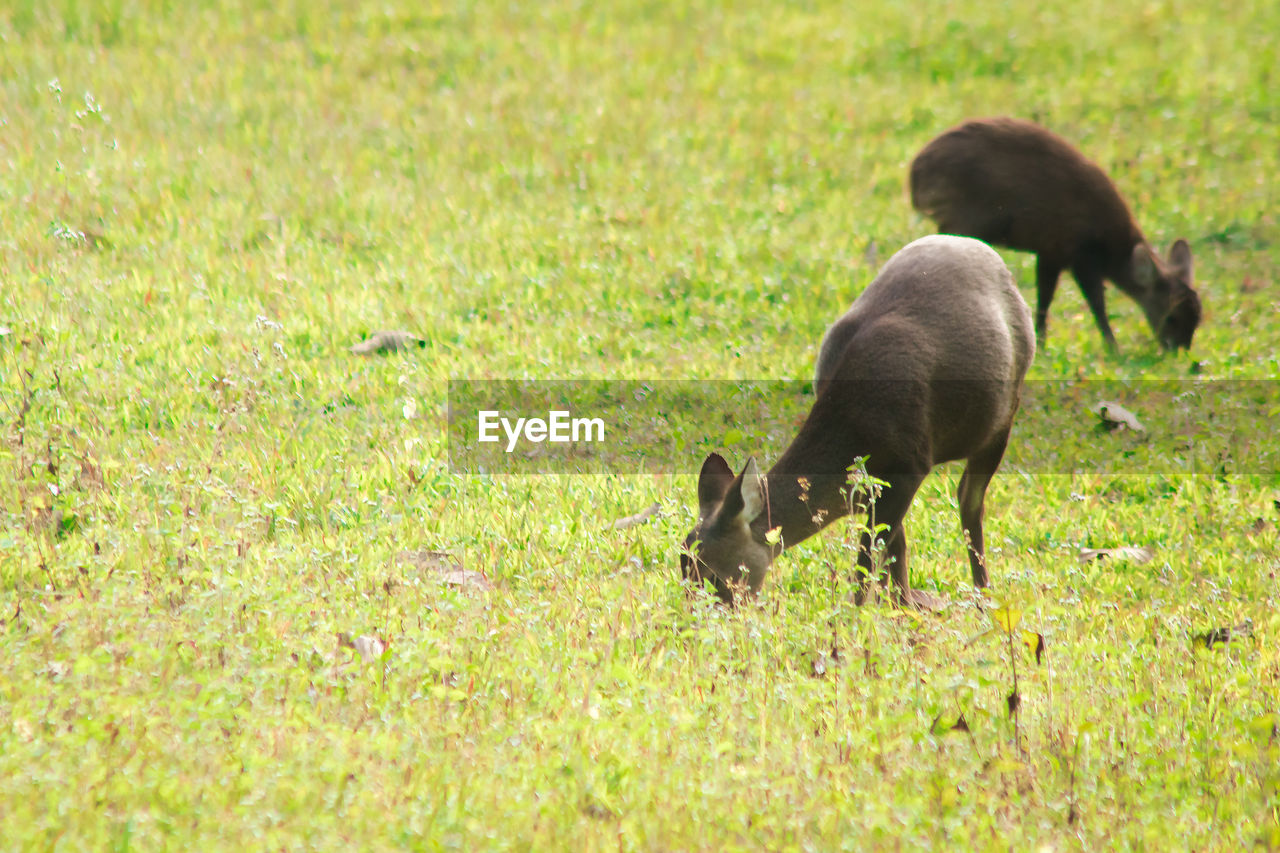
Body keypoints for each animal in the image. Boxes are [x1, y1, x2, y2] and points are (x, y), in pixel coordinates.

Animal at [680, 233, 1029, 604]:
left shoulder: (911, 462)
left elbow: (869, 554)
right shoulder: (874, 485)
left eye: (713, 576)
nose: (698, 610)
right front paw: (900, 604)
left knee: (970, 499)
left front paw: (861, 609)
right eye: (684, 567)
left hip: (1004, 413)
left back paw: (983, 592)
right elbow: (894, 544)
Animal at [911, 115, 1198, 348]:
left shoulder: (1051, 250)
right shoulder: (1076, 251)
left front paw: (1042, 343)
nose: (1178, 349)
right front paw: (1113, 347)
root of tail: (915, 177)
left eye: (1198, 316)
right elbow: (1095, 303)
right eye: (1172, 318)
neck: (1113, 248)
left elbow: (1045, 299)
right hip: (966, 221)